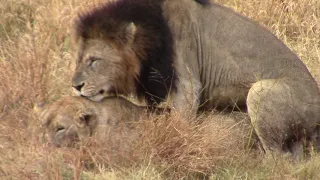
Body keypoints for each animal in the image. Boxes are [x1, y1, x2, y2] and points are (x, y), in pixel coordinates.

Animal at [71, 0, 320, 156]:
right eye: (79, 59)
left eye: (94, 60)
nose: (75, 86)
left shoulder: (188, 83)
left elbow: (178, 125)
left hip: (260, 92)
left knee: (280, 157)